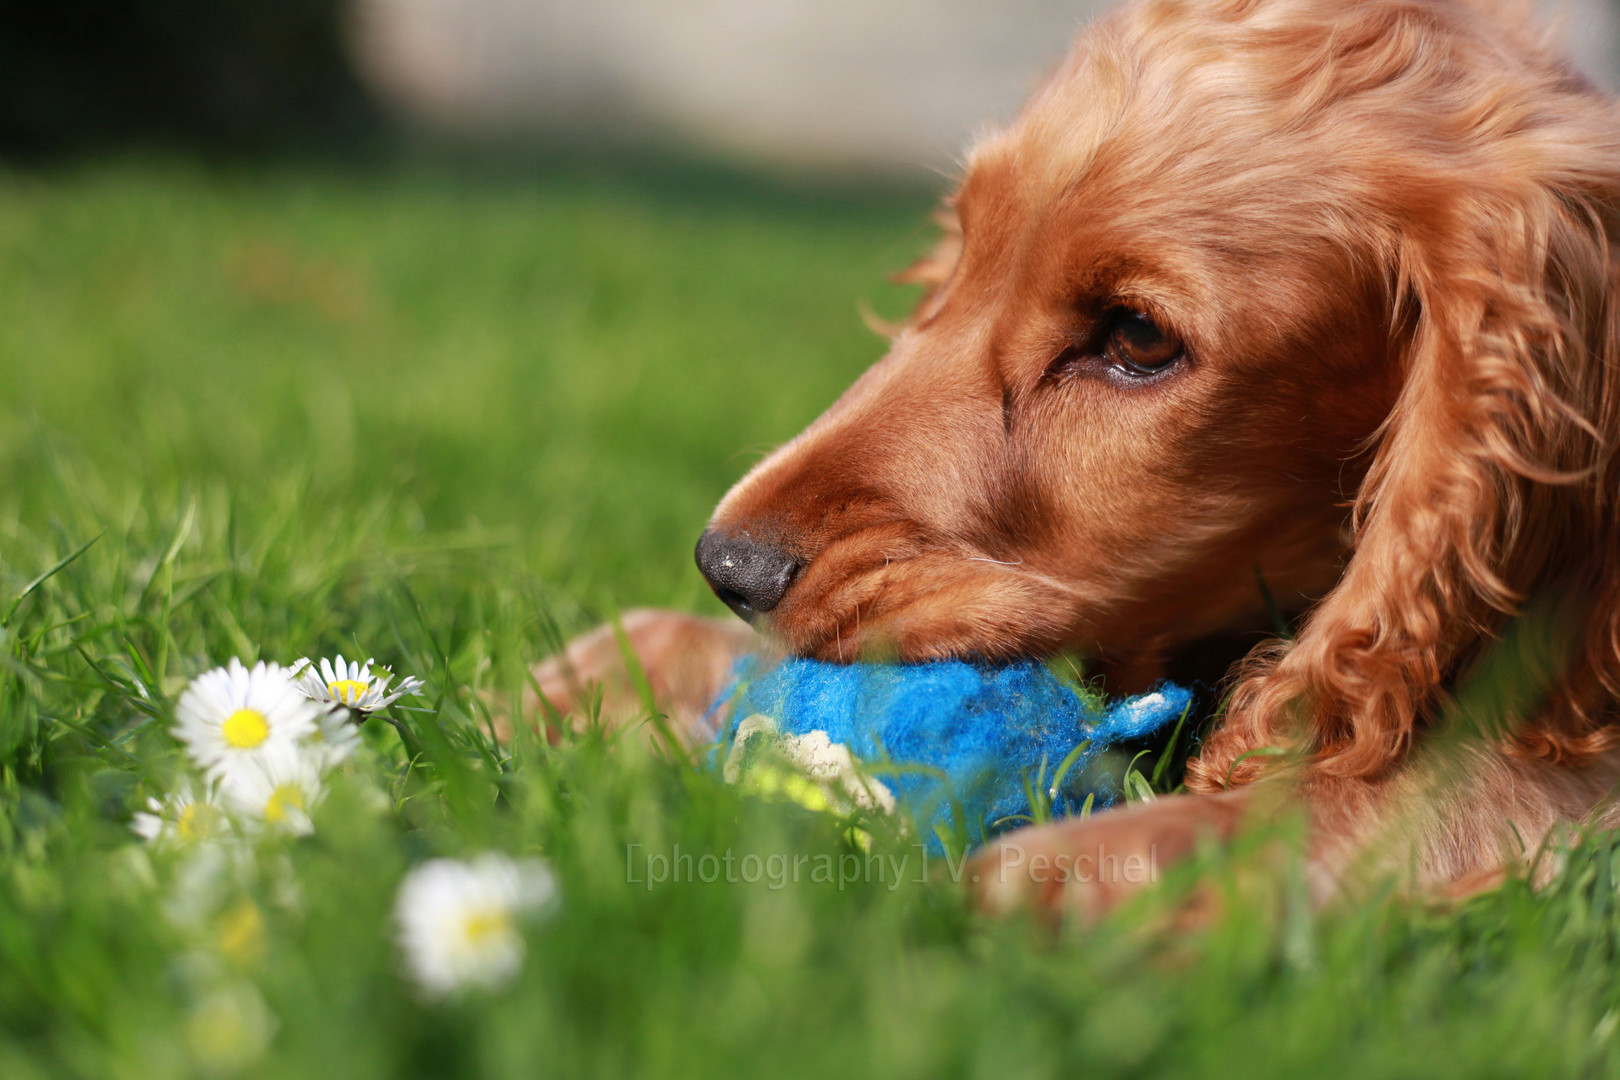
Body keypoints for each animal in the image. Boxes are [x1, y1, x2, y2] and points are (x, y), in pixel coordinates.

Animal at [537, 0, 1620, 919]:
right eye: (964, 250)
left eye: (1139, 338)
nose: (728, 566)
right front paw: (606, 674)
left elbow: (1401, 793)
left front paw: (1045, 877)